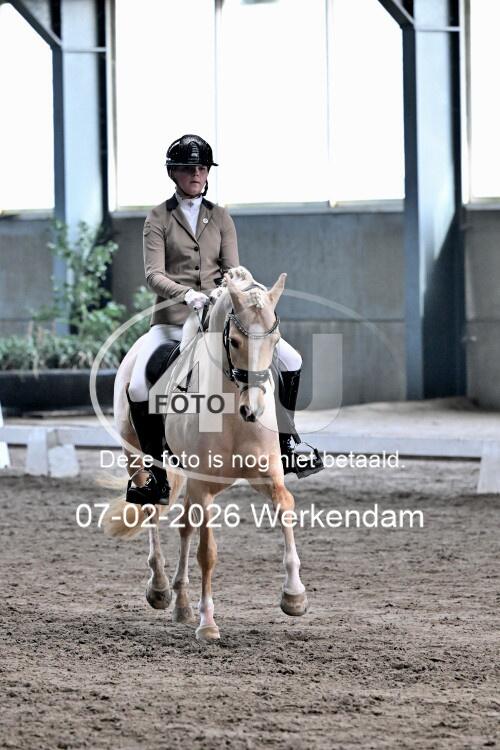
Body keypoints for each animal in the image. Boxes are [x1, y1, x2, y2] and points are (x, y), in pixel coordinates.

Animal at [103, 267, 308, 642]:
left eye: (275, 340)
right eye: (235, 342)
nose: (254, 410)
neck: (231, 414)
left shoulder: (267, 476)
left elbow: (285, 507)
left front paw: (294, 596)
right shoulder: (203, 488)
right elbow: (207, 552)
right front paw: (208, 623)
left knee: (184, 525)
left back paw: (182, 604)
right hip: (138, 460)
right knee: (152, 509)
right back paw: (160, 589)